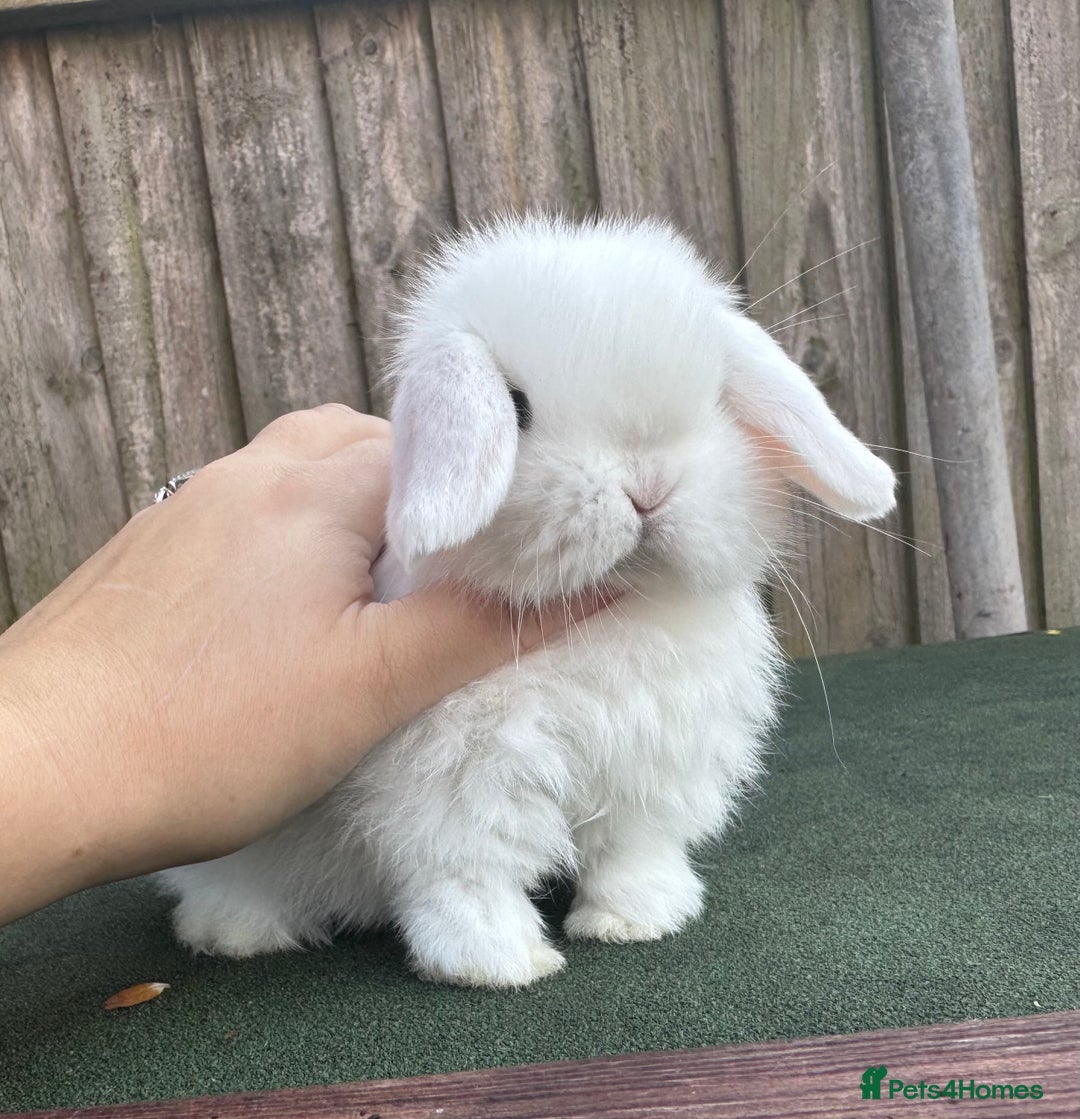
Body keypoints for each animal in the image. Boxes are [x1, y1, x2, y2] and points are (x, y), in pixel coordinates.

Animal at [160, 214, 896, 987]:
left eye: (718, 400)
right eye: (515, 409)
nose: (649, 488)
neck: (611, 618)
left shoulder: (646, 771)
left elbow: (631, 851)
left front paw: (641, 919)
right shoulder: (454, 786)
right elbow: (468, 874)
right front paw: (499, 962)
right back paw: (237, 933)